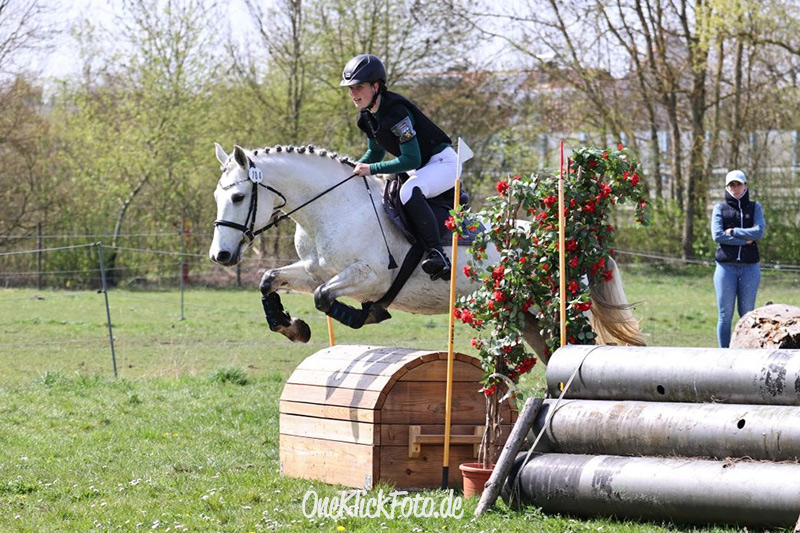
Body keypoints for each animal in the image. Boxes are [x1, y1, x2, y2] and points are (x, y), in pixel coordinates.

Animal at [208, 143, 644, 364]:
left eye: (238, 196)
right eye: (218, 196)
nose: (221, 257)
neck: (332, 207)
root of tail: (571, 242)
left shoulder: (369, 275)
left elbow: (323, 298)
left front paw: (367, 314)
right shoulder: (314, 269)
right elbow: (270, 280)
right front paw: (291, 327)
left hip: (559, 310)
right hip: (525, 314)